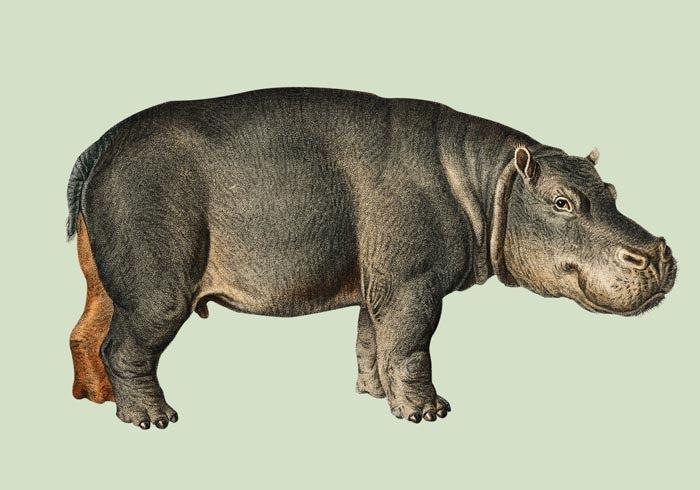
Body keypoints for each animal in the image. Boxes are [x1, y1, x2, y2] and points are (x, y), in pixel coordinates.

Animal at [66, 87, 677, 429]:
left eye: (611, 190)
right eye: (561, 202)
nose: (657, 252)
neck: (489, 180)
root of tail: (101, 146)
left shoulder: (379, 282)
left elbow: (372, 340)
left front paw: (374, 395)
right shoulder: (413, 285)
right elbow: (410, 345)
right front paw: (428, 414)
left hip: (109, 283)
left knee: (86, 333)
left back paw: (94, 400)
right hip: (158, 291)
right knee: (126, 348)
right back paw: (152, 419)